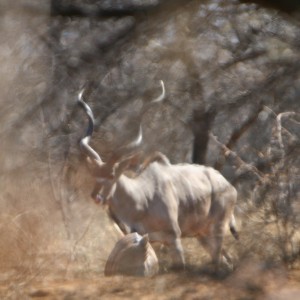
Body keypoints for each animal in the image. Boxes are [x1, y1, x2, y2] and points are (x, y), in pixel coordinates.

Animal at [77, 81, 239, 270]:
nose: (96, 197)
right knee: (225, 259)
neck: (142, 197)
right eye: (94, 174)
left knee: (219, 259)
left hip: (216, 230)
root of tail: (229, 186)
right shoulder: (148, 241)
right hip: (202, 235)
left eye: (112, 175)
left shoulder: (174, 239)